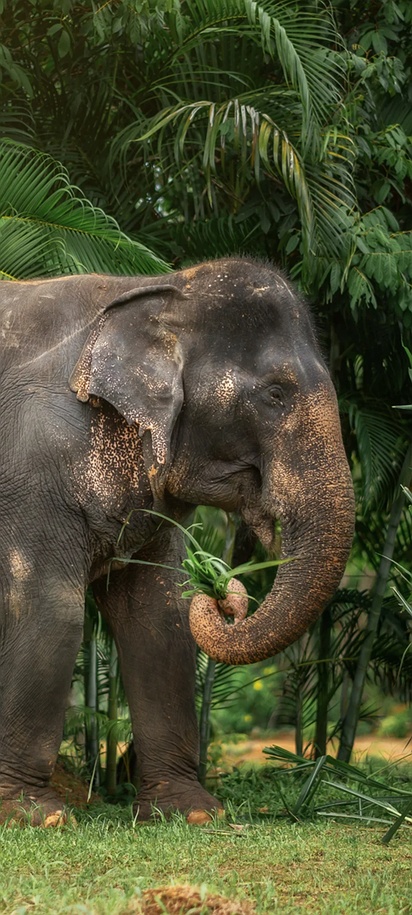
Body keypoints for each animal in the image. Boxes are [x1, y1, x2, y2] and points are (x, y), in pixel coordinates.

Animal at [0, 257, 355, 825]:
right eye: (275, 395)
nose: (227, 597)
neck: (161, 288)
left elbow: (159, 618)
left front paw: (194, 813)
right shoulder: (32, 469)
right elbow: (51, 613)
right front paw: (36, 815)